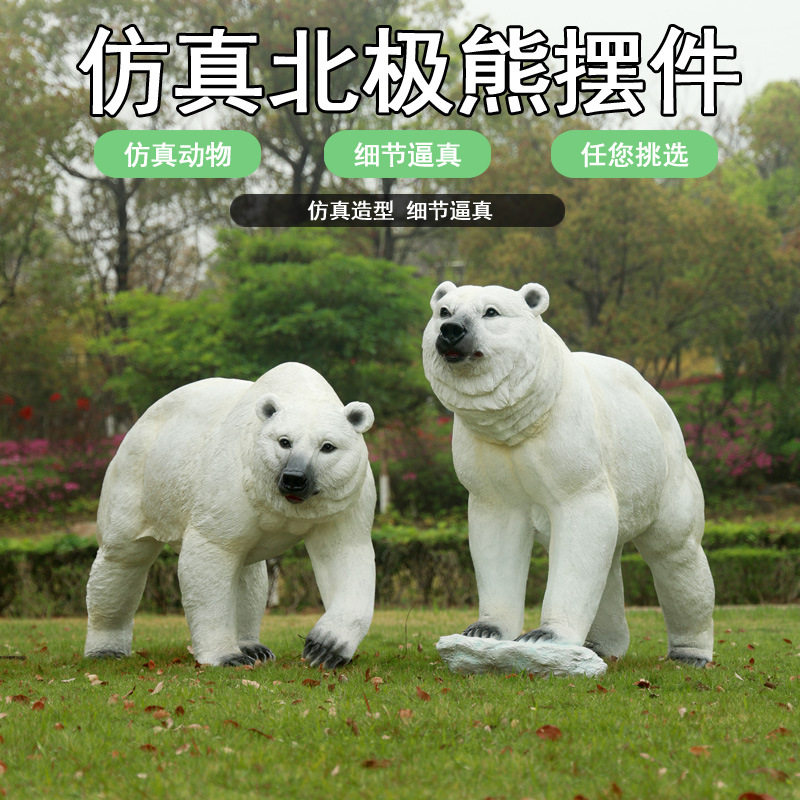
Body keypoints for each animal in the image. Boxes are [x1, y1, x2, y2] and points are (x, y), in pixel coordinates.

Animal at [84, 362, 376, 669]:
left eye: (328, 446)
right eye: (284, 441)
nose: (294, 478)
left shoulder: (345, 498)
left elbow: (344, 554)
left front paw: (325, 648)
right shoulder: (231, 482)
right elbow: (211, 554)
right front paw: (227, 657)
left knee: (249, 574)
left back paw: (254, 647)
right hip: (139, 479)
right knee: (123, 558)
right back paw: (105, 648)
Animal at [422, 281, 714, 667]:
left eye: (491, 312)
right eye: (444, 310)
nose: (451, 331)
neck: (522, 419)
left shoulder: (570, 440)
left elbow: (581, 518)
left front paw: (545, 636)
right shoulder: (483, 452)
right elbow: (497, 529)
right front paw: (483, 630)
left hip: (662, 470)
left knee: (675, 550)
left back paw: (689, 654)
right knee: (610, 557)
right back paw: (601, 645)